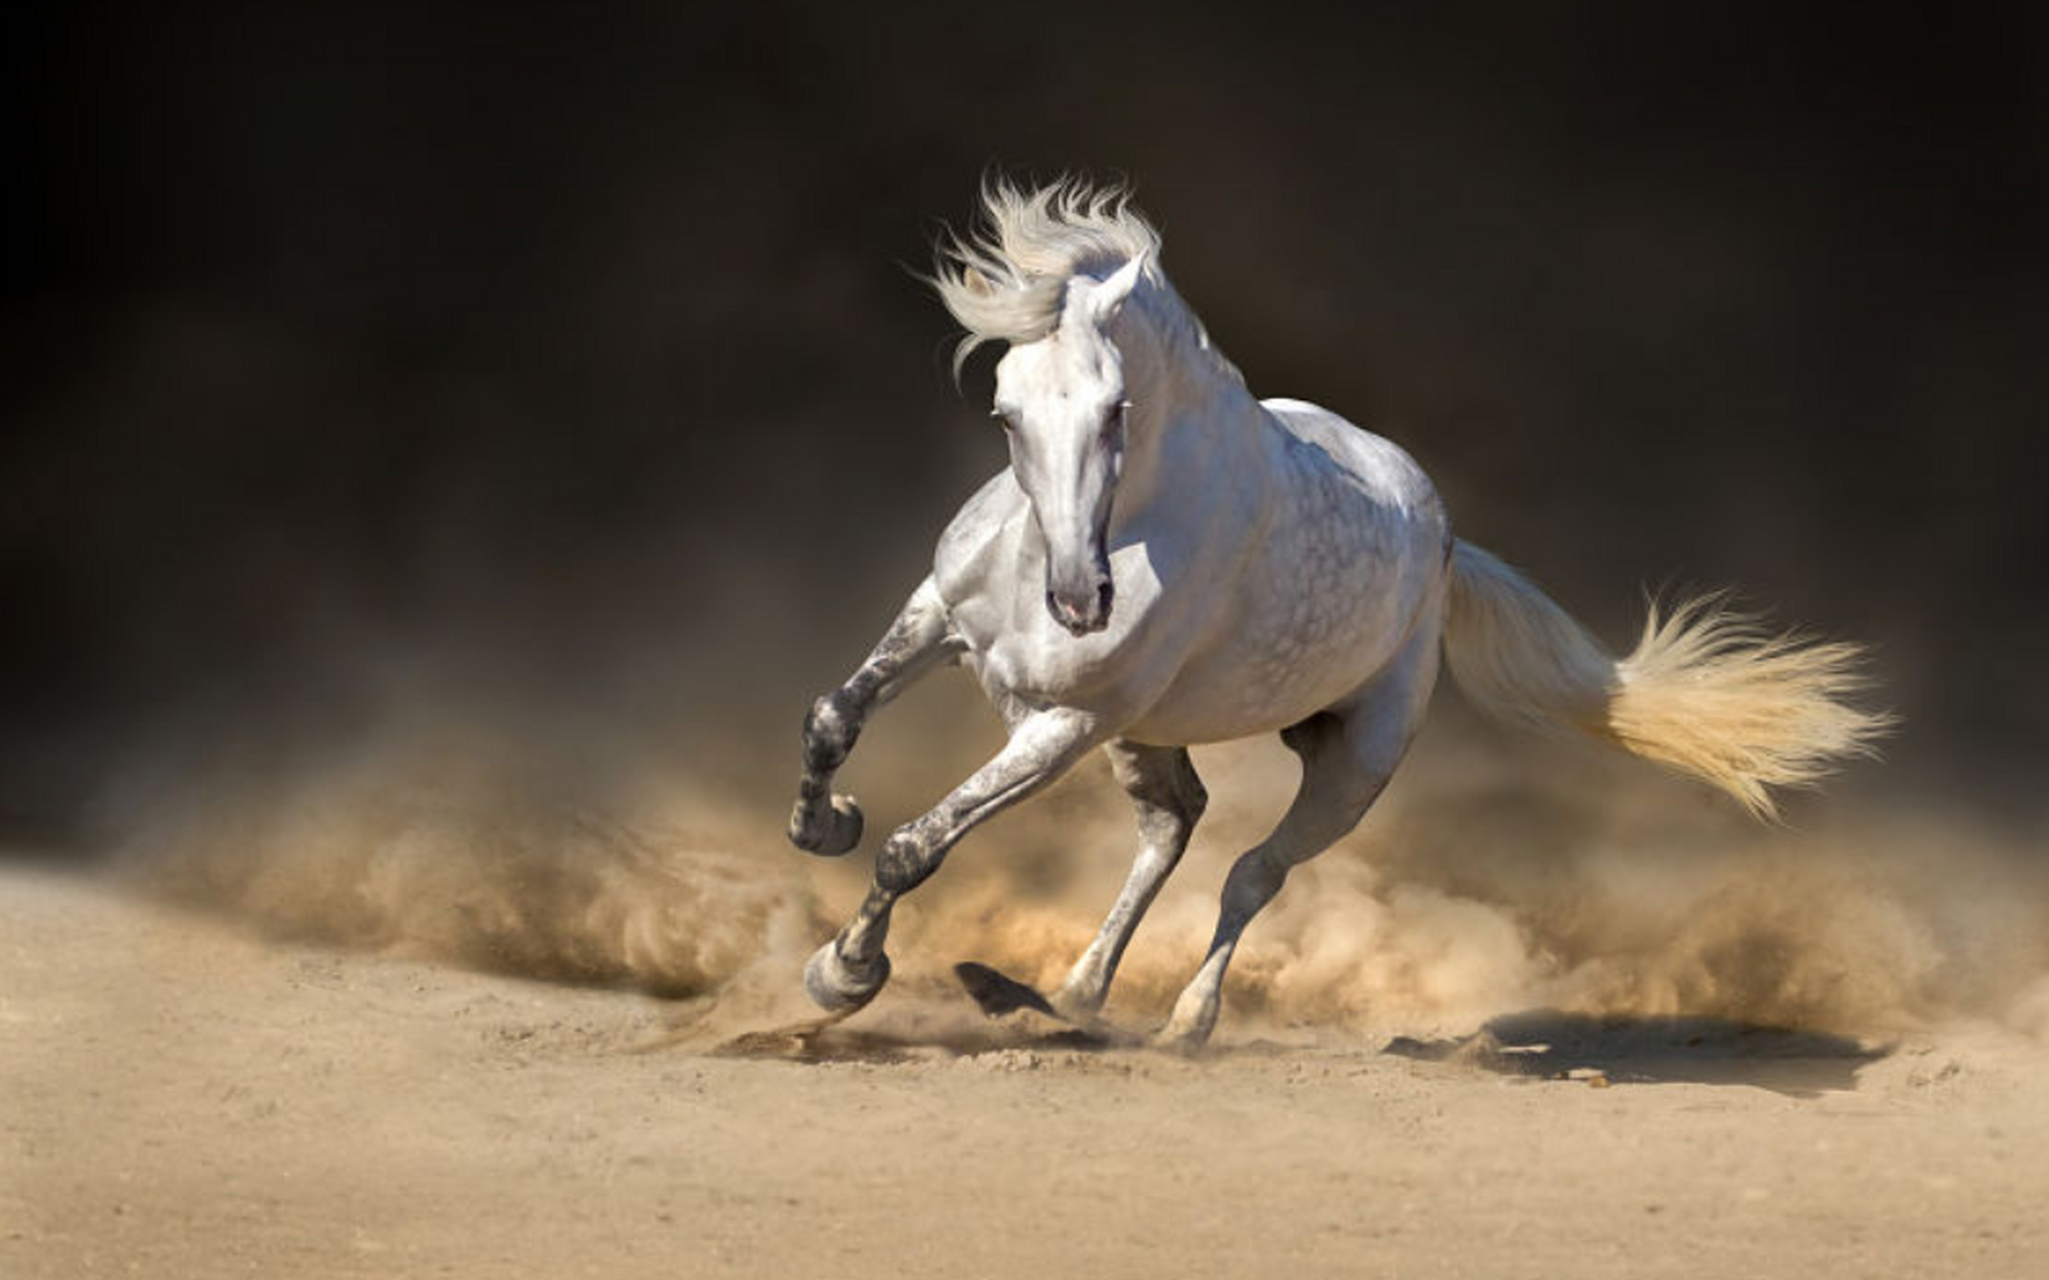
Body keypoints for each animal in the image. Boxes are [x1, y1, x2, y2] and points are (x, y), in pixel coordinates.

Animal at [786, 180, 1885, 1044]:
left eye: (1116, 409)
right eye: (1006, 412)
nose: (1078, 602)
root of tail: (1441, 544)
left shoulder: (1064, 724)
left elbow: (917, 843)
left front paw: (842, 974)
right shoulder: (941, 617)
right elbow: (834, 718)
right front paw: (821, 823)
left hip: (1348, 760)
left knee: (1248, 873)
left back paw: (1181, 1023)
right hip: (1147, 732)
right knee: (1173, 822)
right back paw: (1070, 993)